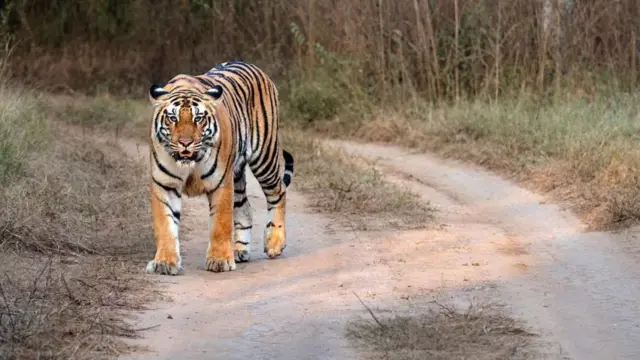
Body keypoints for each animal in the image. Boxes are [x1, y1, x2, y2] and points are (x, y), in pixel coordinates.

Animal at [146, 61, 296, 276]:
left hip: (264, 156)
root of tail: (253, 66)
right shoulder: (164, 184)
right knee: (245, 207)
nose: (185, 143)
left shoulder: (221, 183)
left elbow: (220, 223)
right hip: (238, 174)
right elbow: (165, 225)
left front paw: (219, 260)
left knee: (278, 191)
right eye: (172, 119)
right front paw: (165, 262)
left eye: (198, 118)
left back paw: (274, 242)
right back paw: (240, 250)